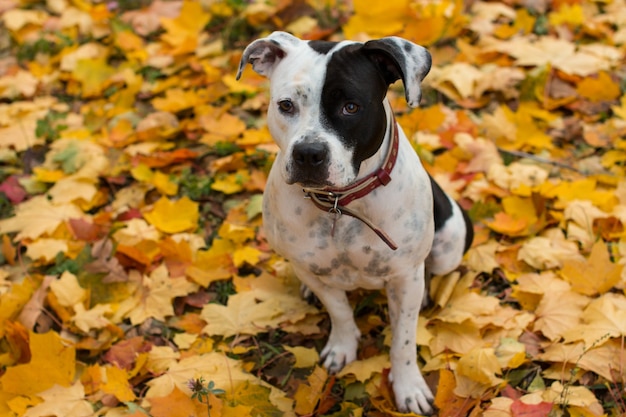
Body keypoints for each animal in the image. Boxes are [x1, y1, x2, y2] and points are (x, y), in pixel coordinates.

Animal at [236, 31, 470, 412]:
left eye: (351, 107)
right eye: (286, 105)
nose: (308, 154)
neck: (340, 205)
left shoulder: (405, 275)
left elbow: (403, 339)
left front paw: (408, 386)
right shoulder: (309, 267)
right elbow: (340, 311)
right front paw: (342, 347)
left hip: (450, 242)